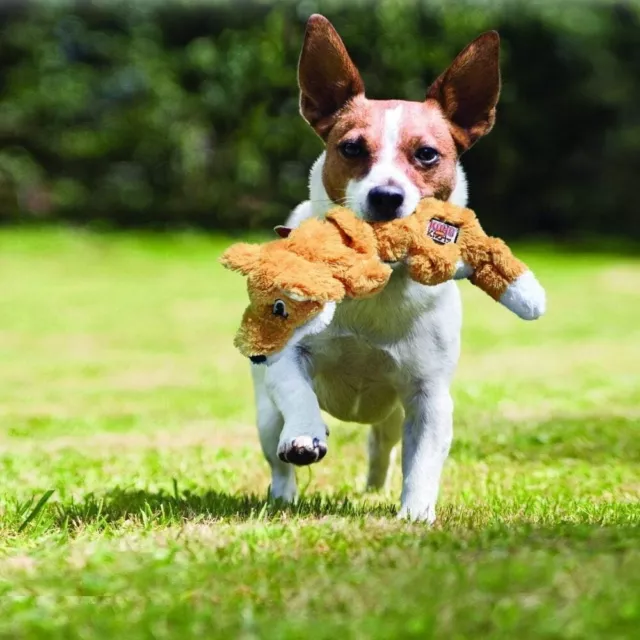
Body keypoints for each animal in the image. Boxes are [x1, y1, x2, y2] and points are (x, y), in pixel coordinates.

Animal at [248, 13, 502, 524]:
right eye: (351, 148)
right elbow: (298, 392)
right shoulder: (289, 360)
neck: (378, 279)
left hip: (393, 415)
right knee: (277, 453)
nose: (386, 197)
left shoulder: (429, 396)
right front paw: (305, 435)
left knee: (382, 445)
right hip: (265, 414)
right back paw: (284, 491)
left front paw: (416, 513)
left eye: (426, 154)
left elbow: (423, 459)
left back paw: (376, 485)